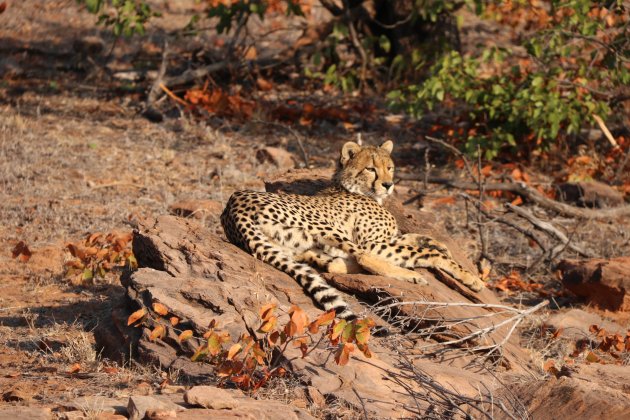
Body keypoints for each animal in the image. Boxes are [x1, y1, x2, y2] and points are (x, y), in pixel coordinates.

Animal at [222, 140, 488, 318]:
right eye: (371, 169)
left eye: (390, 167)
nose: (388, 184)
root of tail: (232, 207)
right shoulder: (373, 242)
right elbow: (425, 252)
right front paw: (471, 278)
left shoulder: (390, 238)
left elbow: (421, 238)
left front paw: (445, 249)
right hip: (327, 226)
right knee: (363, 258)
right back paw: (410, 275)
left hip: (295, 247)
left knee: (329, 264)